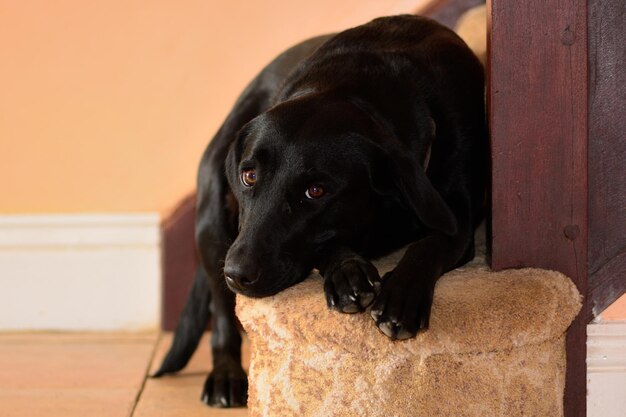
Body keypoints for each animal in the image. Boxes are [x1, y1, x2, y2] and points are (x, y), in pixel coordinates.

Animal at [151, 15, 482, 406]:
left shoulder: (459, 219)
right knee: (221, 313)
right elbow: (327, 246)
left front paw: (401, 296)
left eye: (315, 191)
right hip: (212, 214)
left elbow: (428, 244)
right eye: (249, 176)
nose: (237, 274)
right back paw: (224, 375)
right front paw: (347, 274)